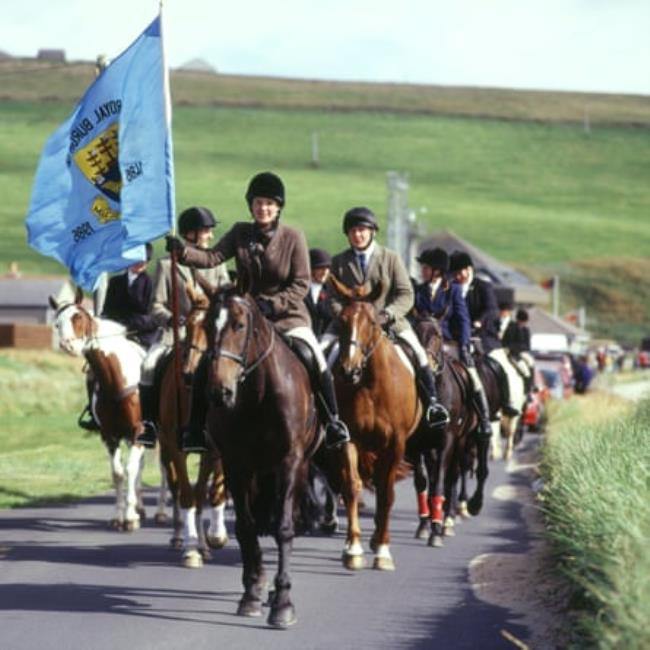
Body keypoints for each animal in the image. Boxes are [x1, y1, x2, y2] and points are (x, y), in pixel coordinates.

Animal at [51, 286, 167, 528]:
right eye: (57, 323)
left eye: (78, 317)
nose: (68, 345)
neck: (117, 378)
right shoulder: (110, 436)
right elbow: (118, 473)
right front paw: (120, 516)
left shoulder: (137, 431)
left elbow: (130, 469)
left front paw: (130, 518)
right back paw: (141, 507)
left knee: (163, 467)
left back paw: (160, 512)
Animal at [154, 280, 228, 564]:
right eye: (186, 326)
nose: (187, 372)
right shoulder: (174, 446)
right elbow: (186, 494)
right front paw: (191, 549)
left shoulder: (214, 450)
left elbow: (204, 493)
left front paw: (209, 541)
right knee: (176, 487)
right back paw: (179, 536)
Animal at [201, 288, 316, 628]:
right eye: (207, 326)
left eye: (239, 325)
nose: (219, 392)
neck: (258, 394)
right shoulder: (236, 464)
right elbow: (246, 527)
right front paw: (251, 594)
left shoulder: (290, 462)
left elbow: (284, 528)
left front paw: (283, 603)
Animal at [330, 276, 420, 568]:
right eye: (341, 320)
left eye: (371, 322)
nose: (348, 371)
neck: (369, 384)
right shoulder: (349, 438)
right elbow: (352, 486)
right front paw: (353, 549)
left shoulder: (395, 443)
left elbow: (387, 493)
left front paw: (382, 550)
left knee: (383, 488)